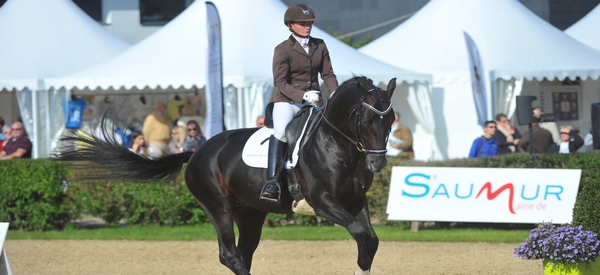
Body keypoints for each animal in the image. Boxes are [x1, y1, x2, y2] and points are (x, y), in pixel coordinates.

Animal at [54, 76, 396, 275]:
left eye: (391, 118)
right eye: (366, 119)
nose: (377, 163)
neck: (339, 144)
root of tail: (198, 151)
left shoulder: (354, 202)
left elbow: (369, 239)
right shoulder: (323, 201)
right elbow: (362, 234)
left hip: (251, 212)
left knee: (243, 253)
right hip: (217, 206)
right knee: (229, 255)